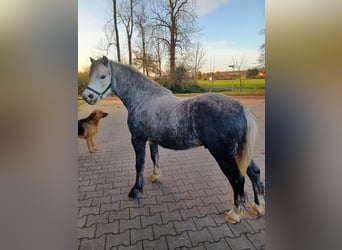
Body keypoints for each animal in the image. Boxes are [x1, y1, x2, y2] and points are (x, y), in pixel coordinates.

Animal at [82, 56, 264, 223]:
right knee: (254, 173)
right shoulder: (152, 140)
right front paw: (155, 176)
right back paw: (258, 207)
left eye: (103, 76)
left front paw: (136, 190)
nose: (87, 96)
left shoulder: (138, 139)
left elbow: (139, 164)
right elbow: (154, 157)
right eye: (91, 75)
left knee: (238, 179)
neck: (143, 98)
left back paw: (234, 214)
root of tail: (242, 109)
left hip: (224, 155)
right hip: (239, 152)